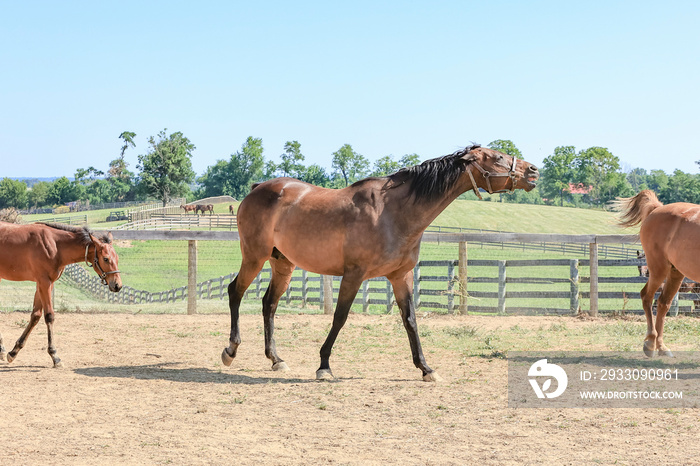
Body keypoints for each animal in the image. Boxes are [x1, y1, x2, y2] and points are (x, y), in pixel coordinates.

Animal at [0, 222, 121, 368]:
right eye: (106, 259)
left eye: (117, 258)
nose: (117, 285)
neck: (55, 246)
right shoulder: (44, 283)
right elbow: (49, 316)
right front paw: (55, 356)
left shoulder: (44, 284)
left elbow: (35, 316)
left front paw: (14, 352)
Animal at [221, 144, 540, 380]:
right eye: (498, 157)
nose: (533, 171)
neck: (392, 213)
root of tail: (258, 188)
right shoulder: (354, 275)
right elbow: (340, 318)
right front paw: (324, 366)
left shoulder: (401, 277)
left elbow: (410, 320)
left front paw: (425, 368)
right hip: (254, 256)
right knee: (235, 291)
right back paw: (231, 350)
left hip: (283, 264)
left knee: (269, 304)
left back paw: (276, 359)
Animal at [616, 189, 700, 356]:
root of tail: (657, 208)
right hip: (658, 269)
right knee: (647, 297)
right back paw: (650, 343)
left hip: (675, 272)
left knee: (663, 303)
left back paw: (661, 347)